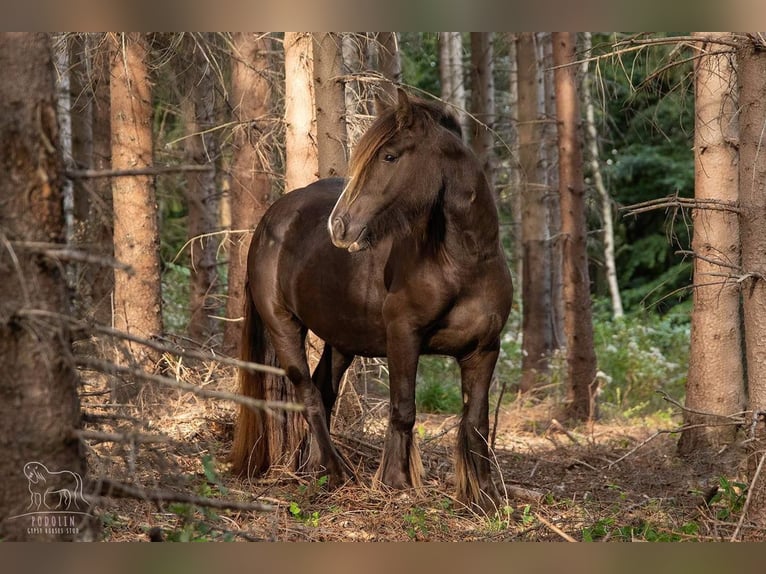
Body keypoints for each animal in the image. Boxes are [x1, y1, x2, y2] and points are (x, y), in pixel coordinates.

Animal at [231, 88, 512, 510]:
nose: (339, 226)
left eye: (390, 156)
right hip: (283, 327)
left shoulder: (484, 349)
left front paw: (484, 495)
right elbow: (403, 410)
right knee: (308, 394)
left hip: (342, 340)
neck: (464, 263)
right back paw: (336, 472)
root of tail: (271, 221)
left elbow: (476, 422)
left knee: (324, 391)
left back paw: (313, 468)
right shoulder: (403, 338)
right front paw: (396, 482)